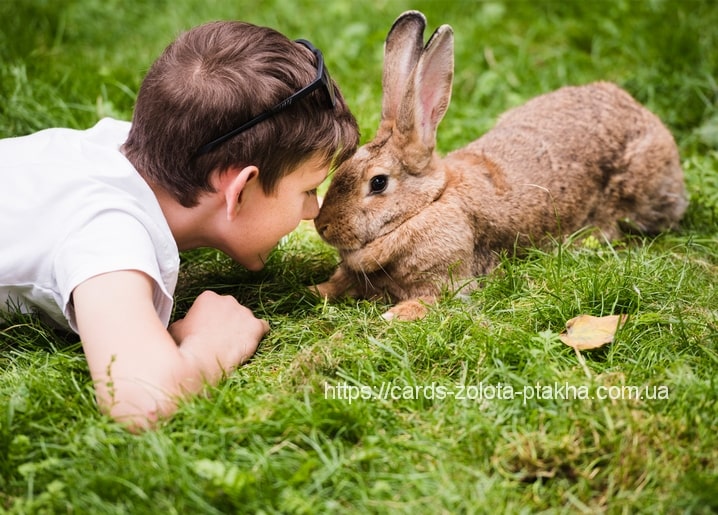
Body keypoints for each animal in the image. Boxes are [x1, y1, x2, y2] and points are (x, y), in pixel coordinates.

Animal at [312, 10, 688, 321]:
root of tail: (643, 113)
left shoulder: (448, 279)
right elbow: (337, 282)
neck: (427, 204)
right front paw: (314, 291)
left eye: (378, 183)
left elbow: (431, 298)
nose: (322, 226)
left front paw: (394, 315)